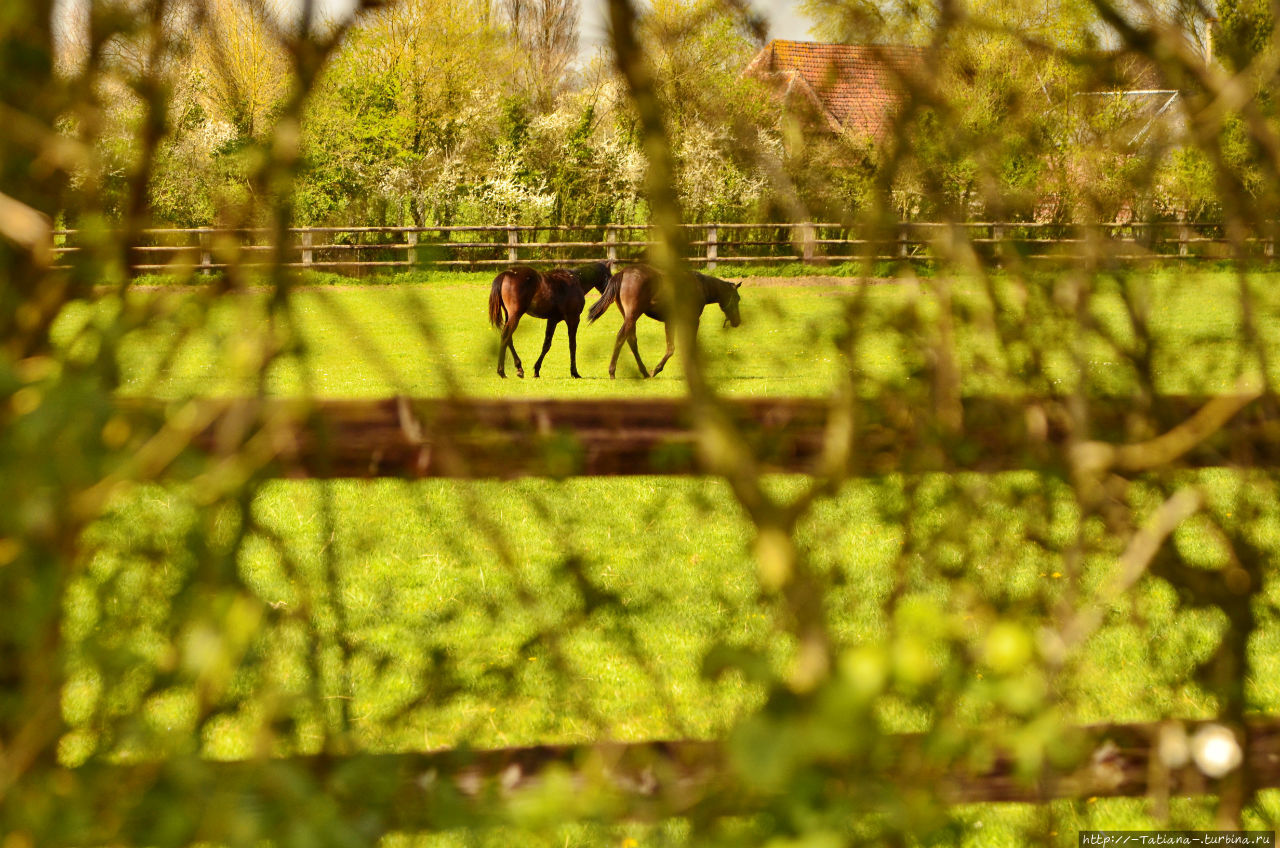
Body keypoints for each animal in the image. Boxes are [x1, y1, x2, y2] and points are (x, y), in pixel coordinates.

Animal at [583, 262, 742, 379]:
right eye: (737, 298)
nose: (737, 321)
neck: (700, 286)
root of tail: (622, 273)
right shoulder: (692, 321)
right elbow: (682, 347)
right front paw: (658, 369)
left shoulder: (673, 321)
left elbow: (674, 347)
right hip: (632, 315)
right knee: (621, 337)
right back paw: (613, 372)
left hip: (628, 316)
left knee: (631, 339)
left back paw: (644, 372)